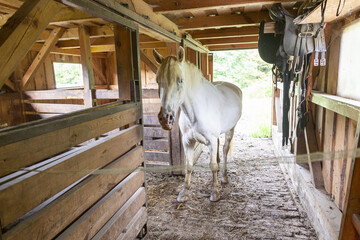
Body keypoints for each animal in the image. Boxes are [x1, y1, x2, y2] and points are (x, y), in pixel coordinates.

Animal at [153, 47, 243, 202]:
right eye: (158, 81)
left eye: (180, 80)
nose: (165, 118)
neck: (195, 113)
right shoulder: (187, 141)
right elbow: (189, 166)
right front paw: (184, 192)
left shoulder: (211, 140)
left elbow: (212, 165)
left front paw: (215, 192)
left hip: (231, 129)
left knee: (225, 150)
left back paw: (224, 177)